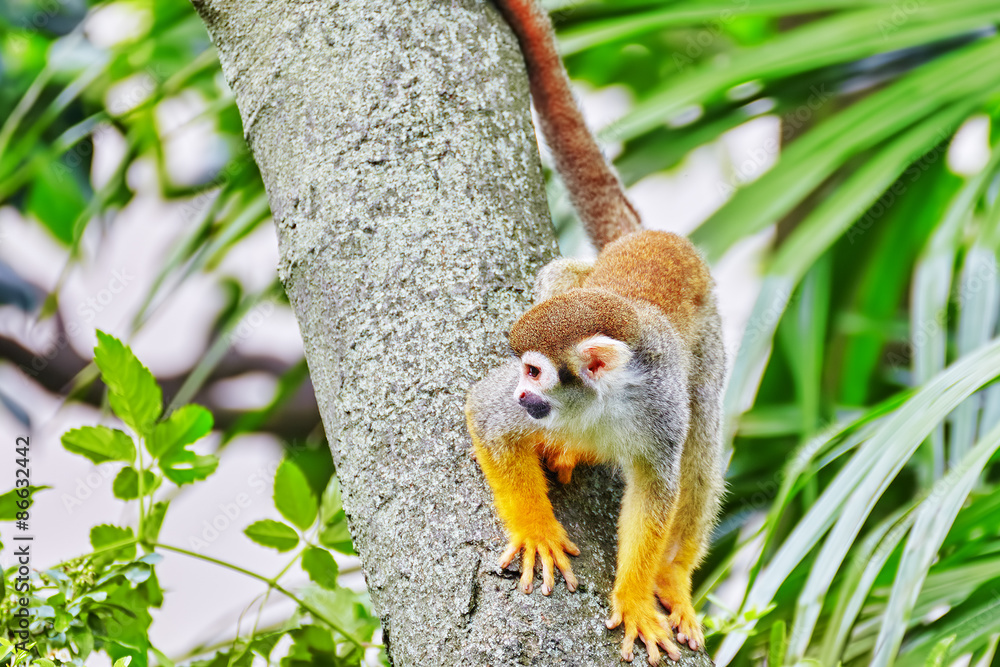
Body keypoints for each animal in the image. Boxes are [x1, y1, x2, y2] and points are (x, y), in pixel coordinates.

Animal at [464, 0, 726, 664]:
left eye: (536, 371)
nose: (523, 393)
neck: (595, 403)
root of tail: (656, 237)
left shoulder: (658, 403)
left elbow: (657, 491)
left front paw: (634, 596)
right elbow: (485, 413)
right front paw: (536, 531)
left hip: (708, 337)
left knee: (703, 433)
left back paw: (672, 577)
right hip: (579, 279)